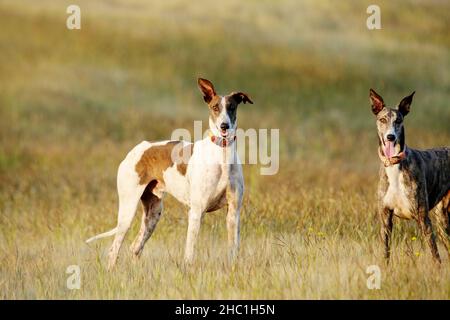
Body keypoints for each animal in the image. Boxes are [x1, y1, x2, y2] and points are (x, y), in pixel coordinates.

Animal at [85, 79, 253, 268]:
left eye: (231, 107)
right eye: (215, 107)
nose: (224, 126)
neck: (222, 156)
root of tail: (135, 150)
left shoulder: (233, 213)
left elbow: (233, 250)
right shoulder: (196, 212)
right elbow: (189, 252)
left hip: (153, 214)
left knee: (135, 247)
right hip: (127, 213)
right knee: (114, 249)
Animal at [370, 89, 448, 264]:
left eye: (398, 120)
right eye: (382, 119)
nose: (390, 137)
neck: (395, 165)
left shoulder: (423, 219)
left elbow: (435, 256)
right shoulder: (385, 219)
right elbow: (385, 253)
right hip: (443, 220)